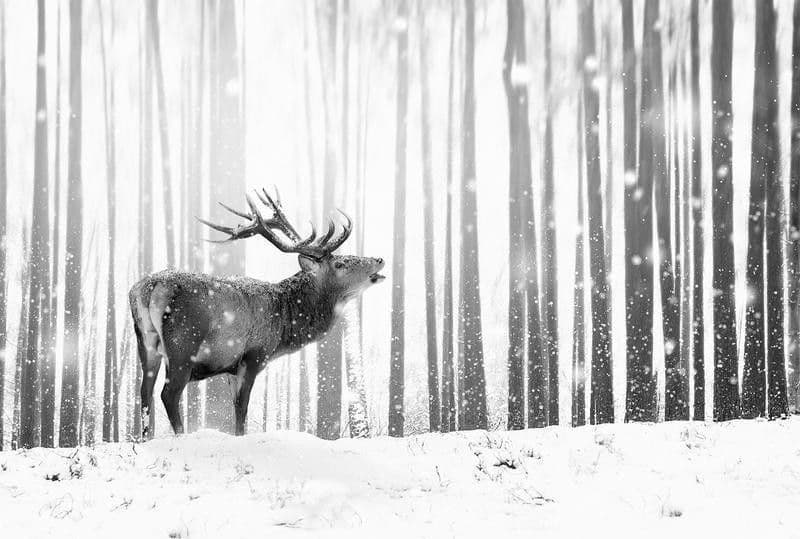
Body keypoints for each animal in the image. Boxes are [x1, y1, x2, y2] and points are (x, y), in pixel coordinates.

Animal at [129, 188, 385, 438]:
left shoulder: (230, 366)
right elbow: (242, 408)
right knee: (168, 394)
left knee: (144, 392)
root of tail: (149, 288)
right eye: (340, 264)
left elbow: (235, 407)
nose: (379, 259)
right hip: (183, 343)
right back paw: (181, 436)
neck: (284, 324)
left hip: (146, 342)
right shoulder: (254, 354)